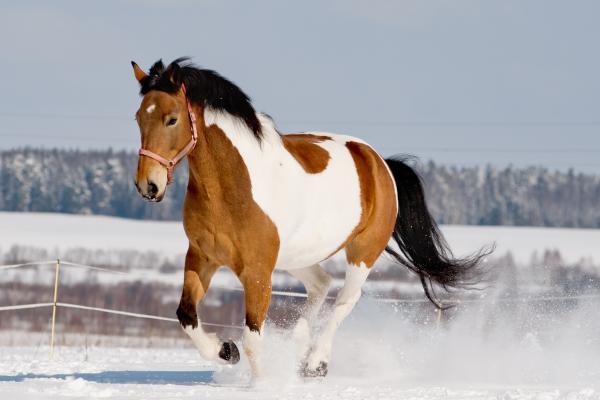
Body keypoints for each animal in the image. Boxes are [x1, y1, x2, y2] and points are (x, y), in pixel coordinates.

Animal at [131, 57, 488, 380]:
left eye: (172, 119)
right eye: (138, 118)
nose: (148, 186)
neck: (233, 187)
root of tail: (379, 163)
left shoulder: (257, 271)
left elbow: (253, 338)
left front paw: (262, 383)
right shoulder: (201, 257)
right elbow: (186, 316)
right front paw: (225, 350)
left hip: (362, 253)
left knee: (344, 300)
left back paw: (316, 362)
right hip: (296, 256)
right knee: (321, 284)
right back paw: (299, 348)